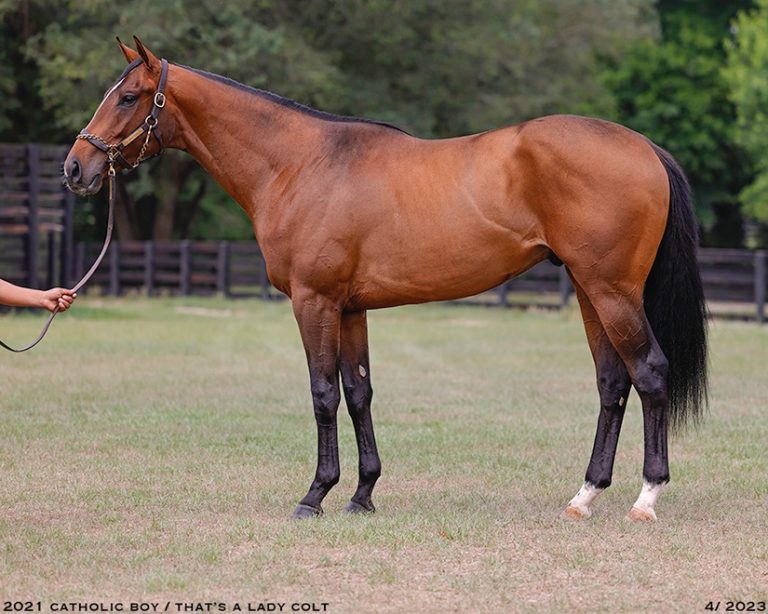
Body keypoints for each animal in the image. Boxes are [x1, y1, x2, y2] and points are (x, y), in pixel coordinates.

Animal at [63, 38, 704, 524]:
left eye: (127, 97)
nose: (75, 168)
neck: (300, 164)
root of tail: (644, 146)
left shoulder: (314, 303)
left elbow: (323, 394)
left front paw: (314, 495)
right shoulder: (350, 309)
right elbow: (359, 393)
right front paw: (363, 494)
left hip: (613, 291)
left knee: (649, 373)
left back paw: (646, 498)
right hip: (591, 292)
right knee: (611, 383)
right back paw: (585, 495)